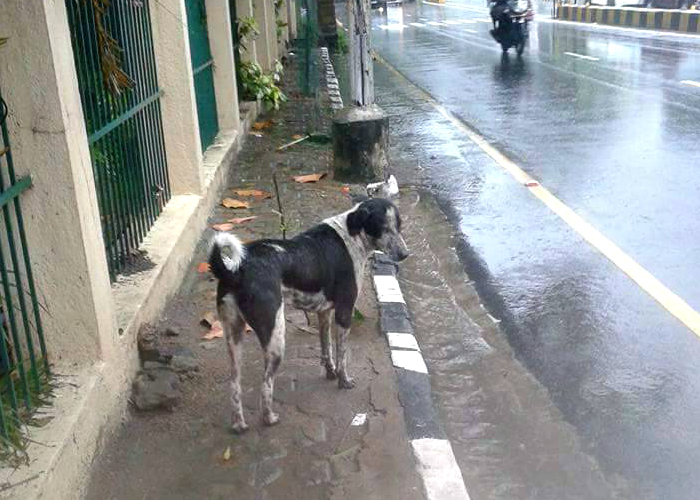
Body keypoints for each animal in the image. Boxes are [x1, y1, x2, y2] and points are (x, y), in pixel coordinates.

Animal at [206, 197, 410, 432]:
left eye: (399, 225)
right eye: (382, 227)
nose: (405, 255)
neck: (352, 234)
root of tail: (234, 270)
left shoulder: (324, 313)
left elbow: (326, 349)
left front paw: (330, 373)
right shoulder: (344, 313)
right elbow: (342, 355)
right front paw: (343, 381)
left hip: (233, 337)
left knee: (234, 384)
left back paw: (239, 424)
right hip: (276, 339)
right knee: (265, 384)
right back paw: (269, 418)